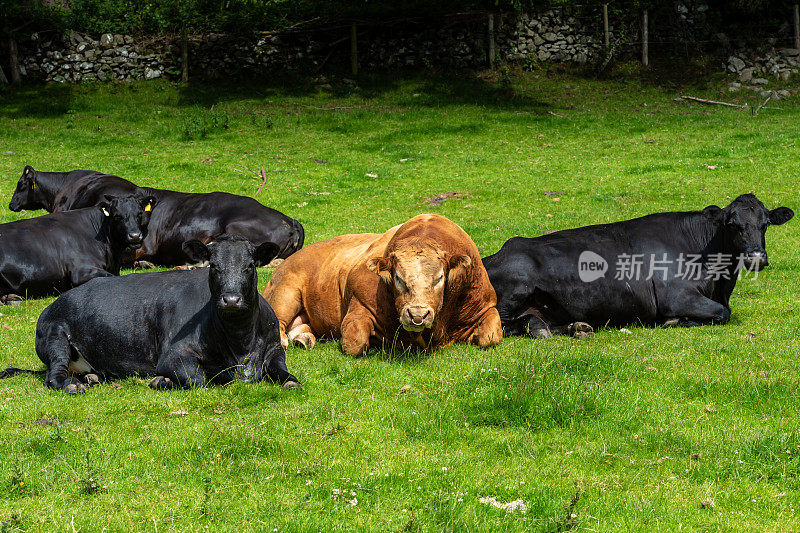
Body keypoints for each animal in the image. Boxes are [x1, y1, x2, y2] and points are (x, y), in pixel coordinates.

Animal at [18, 233, 300, 390]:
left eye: (249, 266)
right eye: (214, 266)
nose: (231, 299)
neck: (241, 342)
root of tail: (53, 305)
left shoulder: (274, 348)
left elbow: (289, 378)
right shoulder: (173, 355)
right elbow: (199, 380)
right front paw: (161, 381)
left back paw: (92, 378)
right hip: (55, 337)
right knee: (55, 377)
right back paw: (74, 386)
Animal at [262, 212, 500, 354]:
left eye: (440, 278)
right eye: (398, 278)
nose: (417, 315)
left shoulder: (487, 306)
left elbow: (491, 336)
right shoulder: (360, 303)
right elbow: (355, 342)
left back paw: (303, 339)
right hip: (285, 293)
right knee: (278, 323)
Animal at [482, 193, 792, 338]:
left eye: (765, 223)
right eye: (732, 224)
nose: (756, 256)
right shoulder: (676, 296)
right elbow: (722, 312)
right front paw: (674, 321)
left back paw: (574, 327)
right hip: (517, 282)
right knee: (500, 323)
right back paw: (536, 328)